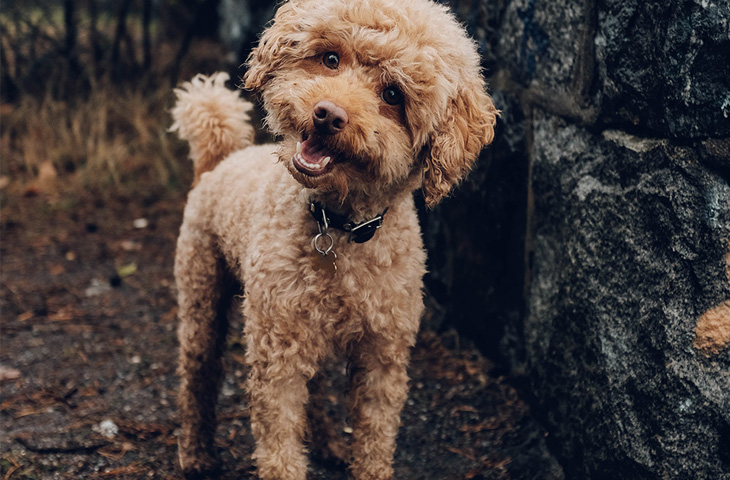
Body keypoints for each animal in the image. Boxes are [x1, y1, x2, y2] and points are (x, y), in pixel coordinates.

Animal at [170, 0, 498, 476]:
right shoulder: (278, 350)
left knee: (316, 387)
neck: (339, 227)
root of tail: (221, 159)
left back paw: (327, 445)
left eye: (393, 95)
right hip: (201, 294)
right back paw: (195, 454)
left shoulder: (383, 355)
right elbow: (279, 441)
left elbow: (376, 438)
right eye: (330, 58)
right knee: (198, 377)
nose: (328, 114)